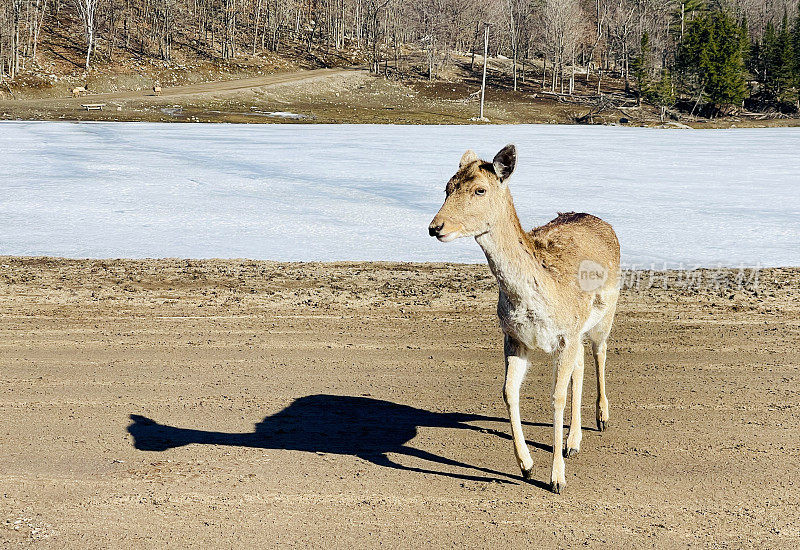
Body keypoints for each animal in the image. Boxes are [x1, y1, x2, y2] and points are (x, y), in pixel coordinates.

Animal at [428, 144, 620, 494]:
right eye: (447, 187)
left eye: (480, 189)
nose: (436, 227)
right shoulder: (515, 336)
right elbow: (508, 391)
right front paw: (527, 466)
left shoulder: (566, 334)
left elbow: (556, 396)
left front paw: (557, 479)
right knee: (581, 365)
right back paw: (573, 442)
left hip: (605, 314)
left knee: (599, 353)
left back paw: (601, 420)